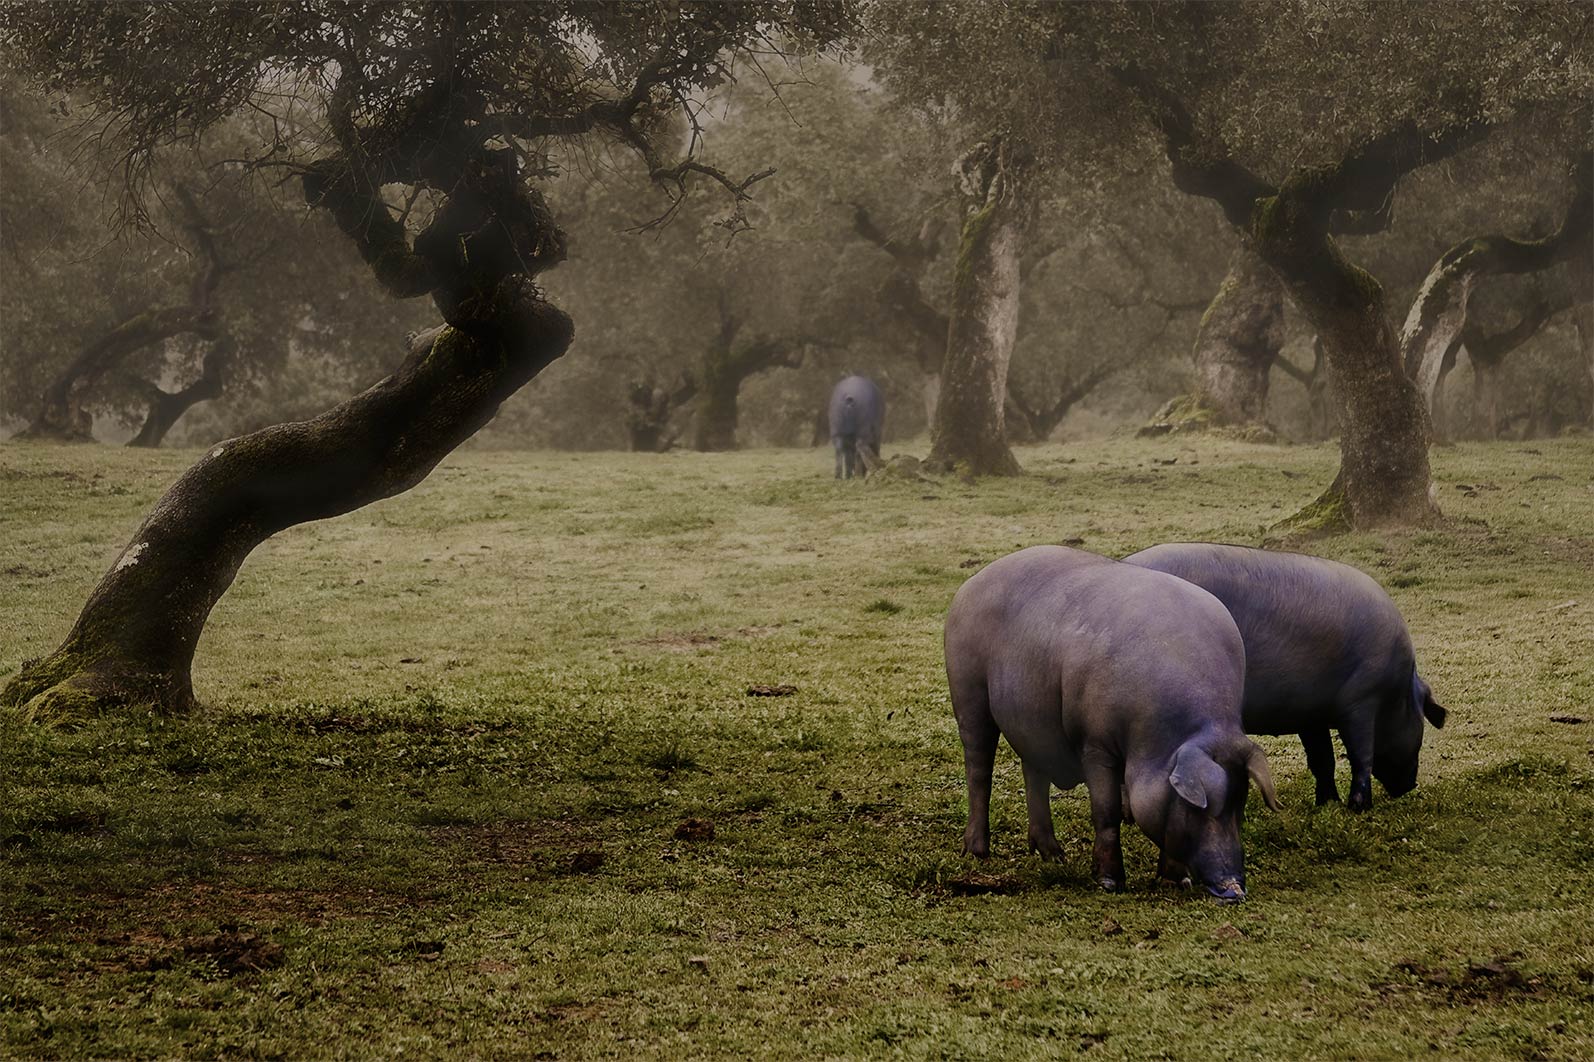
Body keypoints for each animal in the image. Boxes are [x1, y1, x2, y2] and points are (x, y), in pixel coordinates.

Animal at [943, 545, 1281, 899]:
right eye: (1198, 807)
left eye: (1239, 804)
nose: (1234, 889)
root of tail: (971, 584)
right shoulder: (1095, 744)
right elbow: (1106, 811)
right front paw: (1109, 883)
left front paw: (1177, 881)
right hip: (968, 695)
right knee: (978, 770)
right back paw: (977, 853)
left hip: (1032, 720)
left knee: (1034, 775)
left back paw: (1055, 856)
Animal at [1122, 542, 1447, 806]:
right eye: (1422, 722)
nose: (1411, 785)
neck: (1399, 690)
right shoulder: (1363, 701)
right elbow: (1360, 755)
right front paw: (1358, 807)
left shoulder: (1311, 715)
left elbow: (1322, 760)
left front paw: (1327, 805)